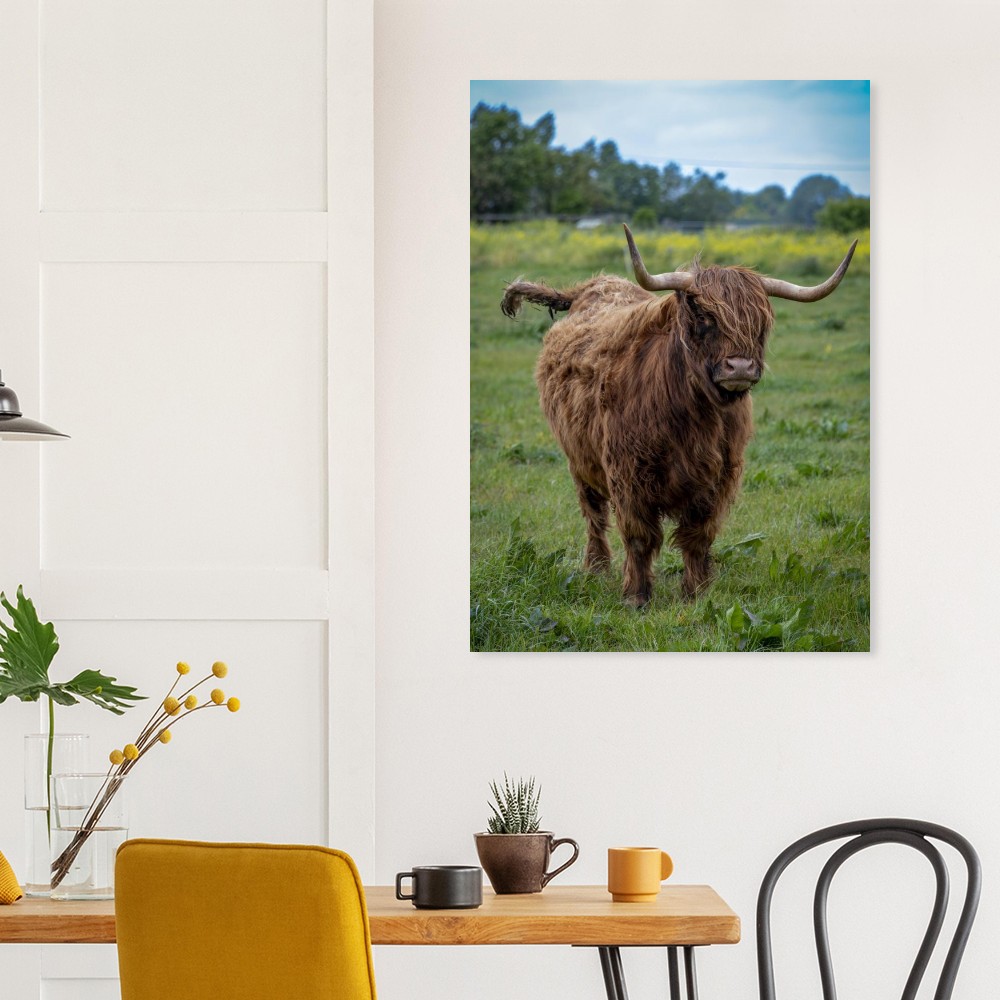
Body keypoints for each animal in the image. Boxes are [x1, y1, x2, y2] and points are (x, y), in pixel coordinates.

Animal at [500, 225, 857, 607]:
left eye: (760, 322)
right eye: (704, 317)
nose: (740, 367)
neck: (692, 417)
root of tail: (594, 284)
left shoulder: (719, 477)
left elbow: (698, 536)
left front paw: (696, 593)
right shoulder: (627, 473)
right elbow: (639, 537)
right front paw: (636, 597)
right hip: (578, 457)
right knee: (593, 514)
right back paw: (595, 567)